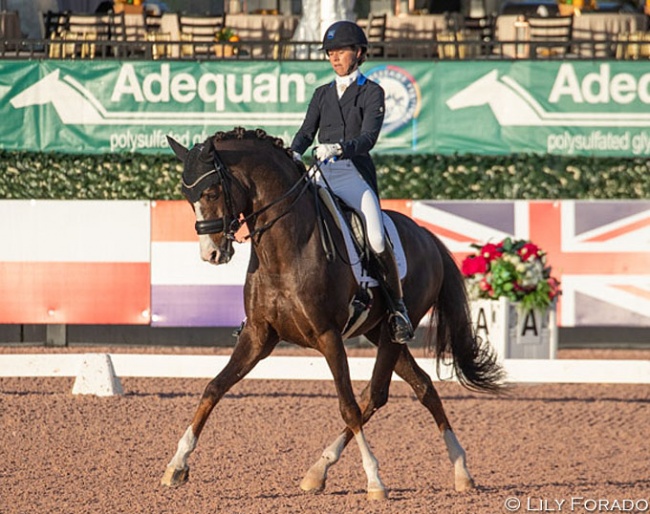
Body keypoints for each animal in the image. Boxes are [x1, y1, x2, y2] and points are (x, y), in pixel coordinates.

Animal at [159, 126, 504, 498]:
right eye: (186, 195)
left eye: (210, 192)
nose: (210, 254)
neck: (285, 249)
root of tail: (427, 236)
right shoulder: (258, 335)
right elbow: (214, 388)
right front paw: (177, 464)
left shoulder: (328, 336)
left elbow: (347, 406)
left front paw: (374, 481)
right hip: (376, 331)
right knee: (421, 386)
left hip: (392, 331)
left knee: (374, 394)